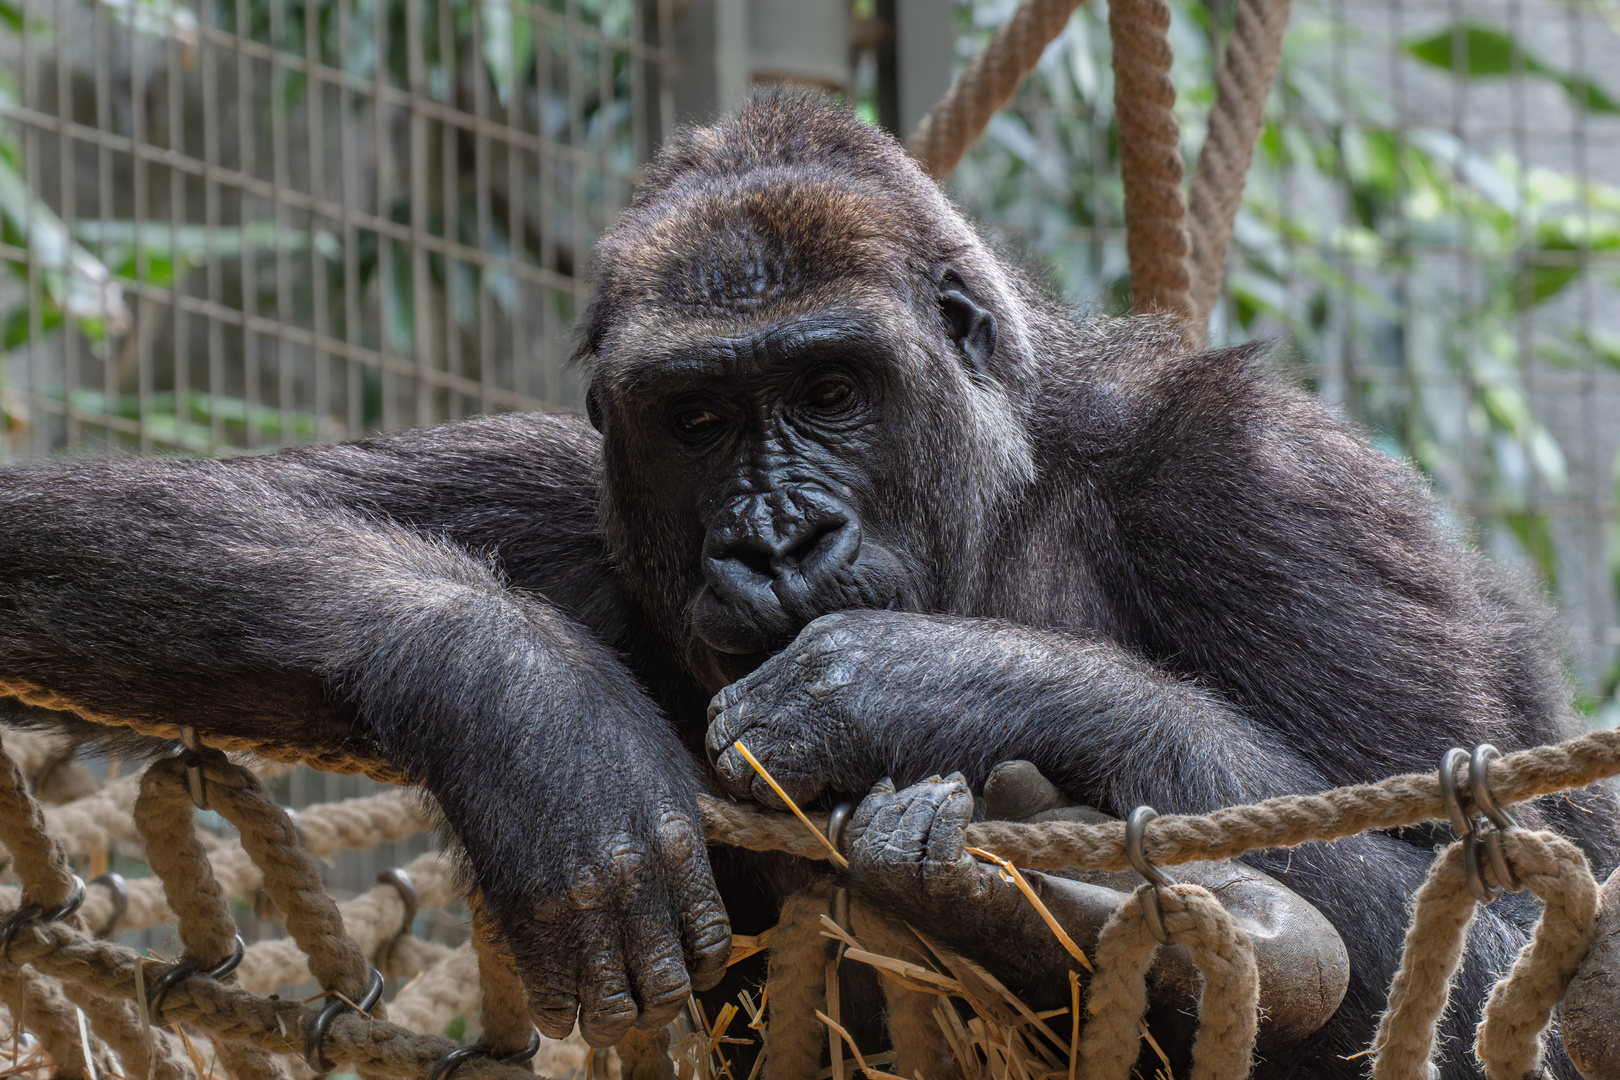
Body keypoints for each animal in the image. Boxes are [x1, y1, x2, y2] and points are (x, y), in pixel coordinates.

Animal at [0, 95, 1613, 1080]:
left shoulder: (1276, 487)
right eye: (702, 419)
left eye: (833, 391)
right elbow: (64, 528)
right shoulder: (572, 494)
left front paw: (923, 680)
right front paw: (526, 707)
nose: (774, 540)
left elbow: (1523, 935)